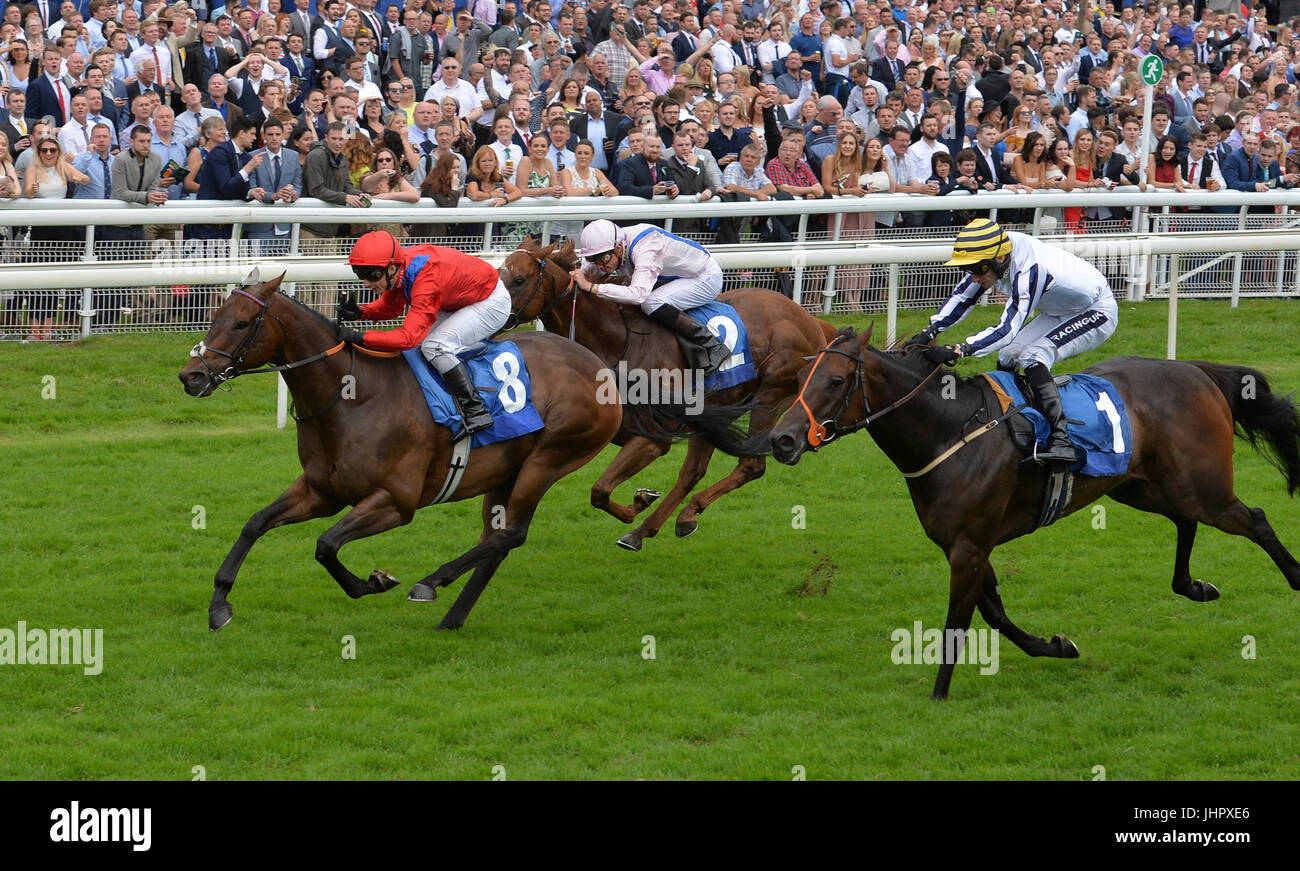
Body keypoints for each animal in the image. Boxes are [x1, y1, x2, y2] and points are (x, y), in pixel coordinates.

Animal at [180, 273, 621, 634]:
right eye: (214, 316)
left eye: (241, 323)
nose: (191, 376)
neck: (352, 397)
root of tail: (596, 365)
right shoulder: (321, 492)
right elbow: (254, 524)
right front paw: (219, 605)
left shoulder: (396, 502)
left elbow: (326, 545)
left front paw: (374, 582)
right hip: (505, 473)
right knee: (498, 539)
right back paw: (451, 618)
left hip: (548, 460)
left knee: (511, 533)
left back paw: (430, 583)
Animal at [496, 236, 832, 553]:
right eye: (498, 275)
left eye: (519, 280)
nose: (493, 314)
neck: (618, 340)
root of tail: (809, 320)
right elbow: (601, 492)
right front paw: (641, 502)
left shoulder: (653, 438)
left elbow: (600, 490)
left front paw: (637, 504)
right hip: (717, 409)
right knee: (693, 472)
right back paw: (663, 525)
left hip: (770, 394)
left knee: (751, 464)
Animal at [769, 327, 1300, 702]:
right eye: (799, 380)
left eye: (835, 381)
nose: (782, 440)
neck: (948, 431)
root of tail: (1195, 370)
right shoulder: (964, 545)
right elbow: (996, 614)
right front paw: (1059, 646)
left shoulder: (969, 547)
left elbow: (958, 624)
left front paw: (937, 697)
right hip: (1140, 486)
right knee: (1185, 520)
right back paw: (1194, 586)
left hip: (1203, 488)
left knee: (1254, 518)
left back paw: (1294, 578)